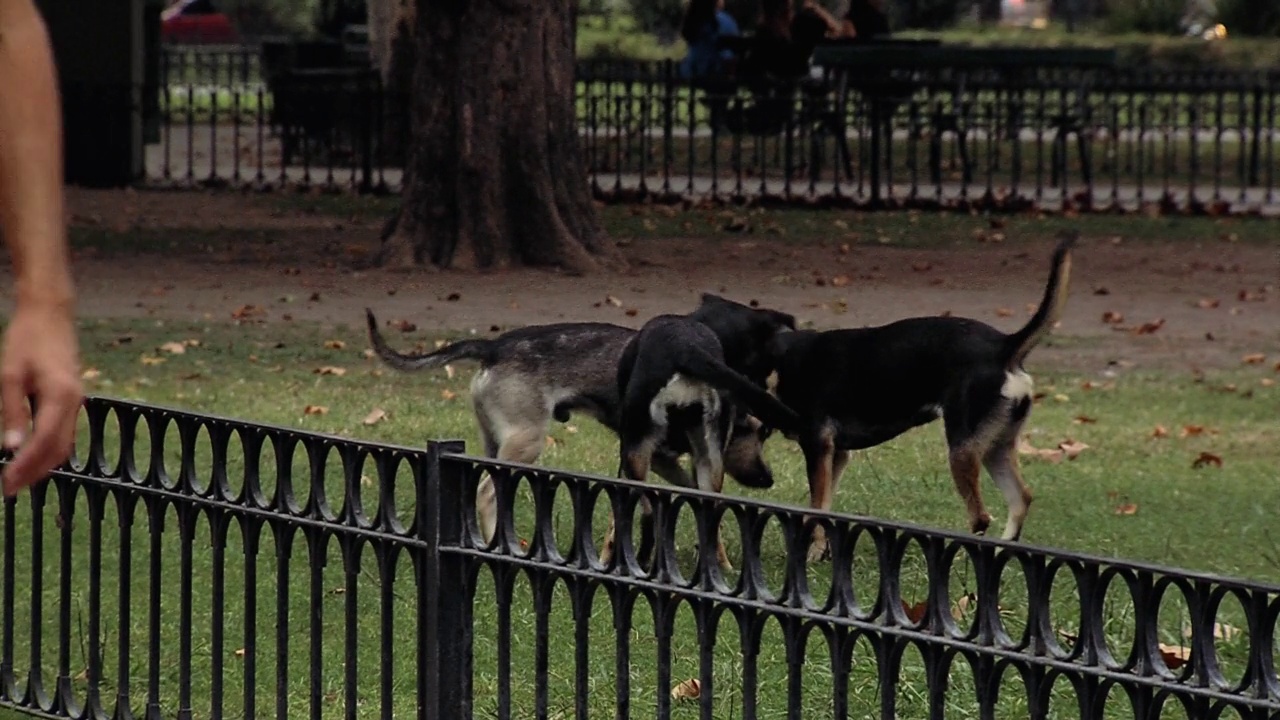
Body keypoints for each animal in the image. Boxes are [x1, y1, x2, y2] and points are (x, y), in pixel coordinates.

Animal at [768, 229, 1080, 556]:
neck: (782, 357)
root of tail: (1004, 346)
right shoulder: (836, 454)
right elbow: (824, 508)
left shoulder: (817, 447)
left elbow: (815, 509)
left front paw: (813, 553)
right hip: (996, 447)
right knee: (1021, 499)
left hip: (962, 450)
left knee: (980, 516)